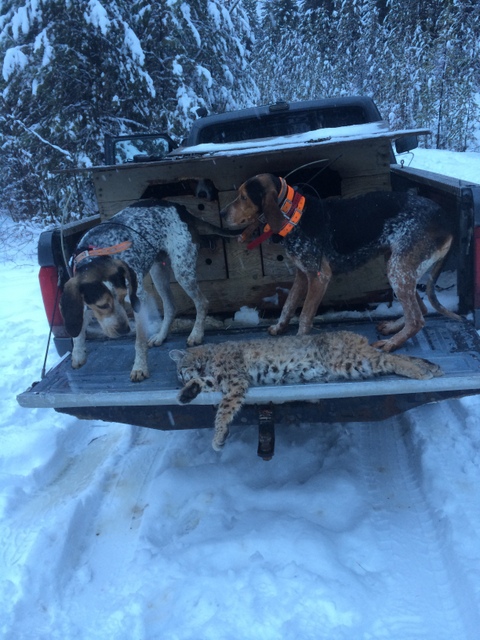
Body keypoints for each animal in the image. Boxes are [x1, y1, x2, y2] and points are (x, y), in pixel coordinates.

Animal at [60, 199, 239, 381]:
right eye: (102, 305)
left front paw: (139, 367)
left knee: (202, 302)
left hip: (182, 271)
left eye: (122, 297)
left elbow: (139, 341)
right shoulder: (82, 303)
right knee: (170, 307)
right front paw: (78, 354)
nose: (125, 330)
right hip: (158, 272)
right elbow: (78, 332)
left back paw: (196, 334)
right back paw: (161, 335)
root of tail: (180, 209)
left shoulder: (139, 300)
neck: (95, 253)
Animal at [220, 173, 462, 351]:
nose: (221, 213)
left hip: (398, 270)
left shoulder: (319, 278)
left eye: (243, 197)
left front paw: (300, 341)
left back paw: (391, 344)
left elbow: (304, 315)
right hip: (398, 266)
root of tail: (447, 222)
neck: (294, 214)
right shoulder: (302, 274)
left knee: (417, 319)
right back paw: (393, 329)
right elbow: (288, 305)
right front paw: (279, 327)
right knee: (422, 309)